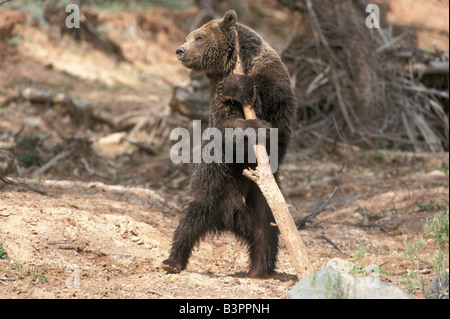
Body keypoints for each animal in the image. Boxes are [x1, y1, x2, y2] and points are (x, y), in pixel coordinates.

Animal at [162, 10, 296, 278]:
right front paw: (257, 126)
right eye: (189, 36)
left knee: (267, 230)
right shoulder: (216, 94)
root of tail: (231, 216)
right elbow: (226, 123)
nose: (180, 50)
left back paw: (260, 269)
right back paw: (172, 260)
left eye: (198, 37)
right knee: (190, 217)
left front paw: (239, 86)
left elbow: (276, 95)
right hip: (212, 178)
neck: (231, 64)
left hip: (262, 196)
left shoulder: (270, 72)